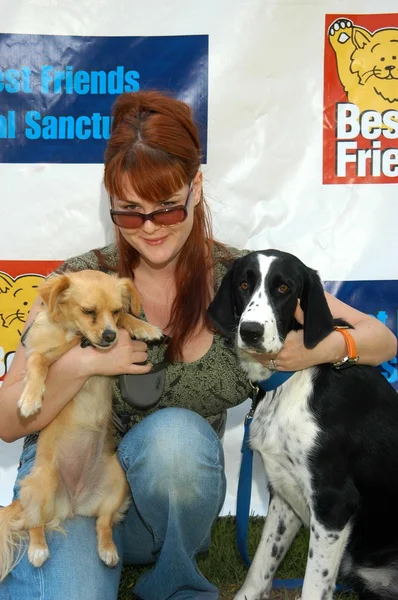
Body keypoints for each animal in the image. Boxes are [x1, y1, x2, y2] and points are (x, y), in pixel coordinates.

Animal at [0, 270, 163, 580]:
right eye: (89, 311)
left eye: (116, 309)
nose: (110, 337)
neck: (76, 336)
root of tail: (73, 504)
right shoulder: (47, 353)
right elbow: (37, 362)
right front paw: (30, 398)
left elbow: (127, 321)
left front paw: (143, 326)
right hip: (40, 485)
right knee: (34, 523)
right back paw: (38, 550)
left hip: (117, 483)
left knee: (103, 522)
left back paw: (108, 550)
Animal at [207, 250, 398, 600]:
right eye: (243, 284)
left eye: (284, 288)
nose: (251, 331)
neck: (287, 383)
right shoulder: (283, 493)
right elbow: (261, 562)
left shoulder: (334, 505)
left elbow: (314, 584)